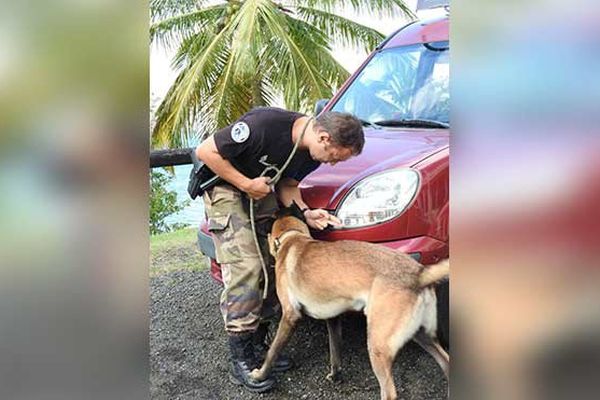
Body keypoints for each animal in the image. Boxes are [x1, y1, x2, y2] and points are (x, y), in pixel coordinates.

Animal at [248, 212, 450, 400]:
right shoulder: (332, 318)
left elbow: (273, 351)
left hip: (378, 347)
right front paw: (335, 375)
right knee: (447, 363)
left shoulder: (290, 316)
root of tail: (419, 273)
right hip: (422, 335)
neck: (293, 238)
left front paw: (259, 375)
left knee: (389, 392)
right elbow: (335, 350)